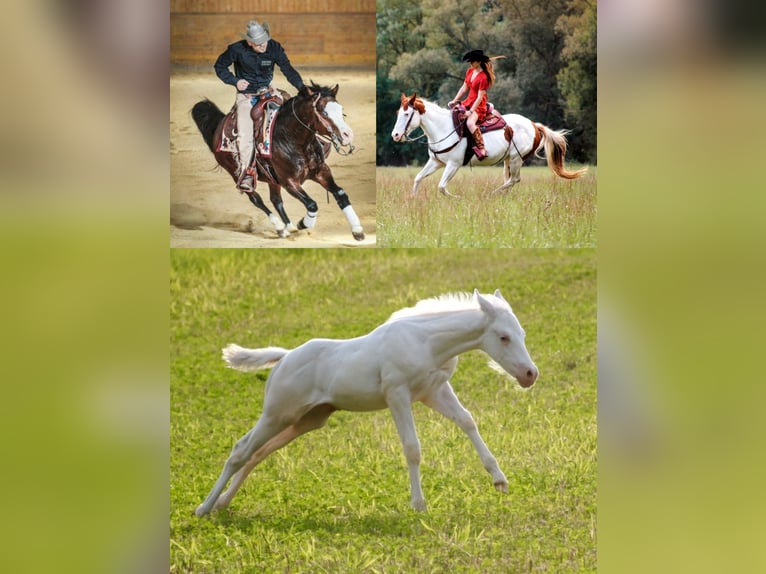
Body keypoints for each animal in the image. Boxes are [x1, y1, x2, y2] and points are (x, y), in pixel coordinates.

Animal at [189, 83, 364, 241]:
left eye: (341, 110)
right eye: (324, 112)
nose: (348, 135)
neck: (291, 138)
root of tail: (219, 126)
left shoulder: (321, 172)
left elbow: (341, 194)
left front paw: (357, 231)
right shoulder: (289, 182)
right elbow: (312, 204)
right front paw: (303, 223)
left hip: (272, 179)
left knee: (276, 200)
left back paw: (289, 227)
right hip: (237, 174)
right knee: (256, 199)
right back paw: (281, 228)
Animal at [195, 290, 536, 516]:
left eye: (522, 332)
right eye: (503, 337)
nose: (530, 374)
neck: (426, 343)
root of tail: (284, 357)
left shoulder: (434, 391)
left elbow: (467, 421)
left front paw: (499, 480)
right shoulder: (397, 394)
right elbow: (412, 447)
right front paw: (419, 505)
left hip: (307, 419)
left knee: (258, 453)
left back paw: (223, 503)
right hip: (276, 413)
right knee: (241, 450)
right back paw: (204, 507)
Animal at [392, 95, 584, 200]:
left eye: (407, 114)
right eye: (398, 113)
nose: (395, 135)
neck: (443, 128)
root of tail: (534, 125)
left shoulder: (453, 164)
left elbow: (441, 186)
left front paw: (458, 198)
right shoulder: (435, 162)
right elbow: (418, 178)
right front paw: (413, 198)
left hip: (516, 159)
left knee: (514, 180)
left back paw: (492, 194)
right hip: (508, 160)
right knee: (509, 180)